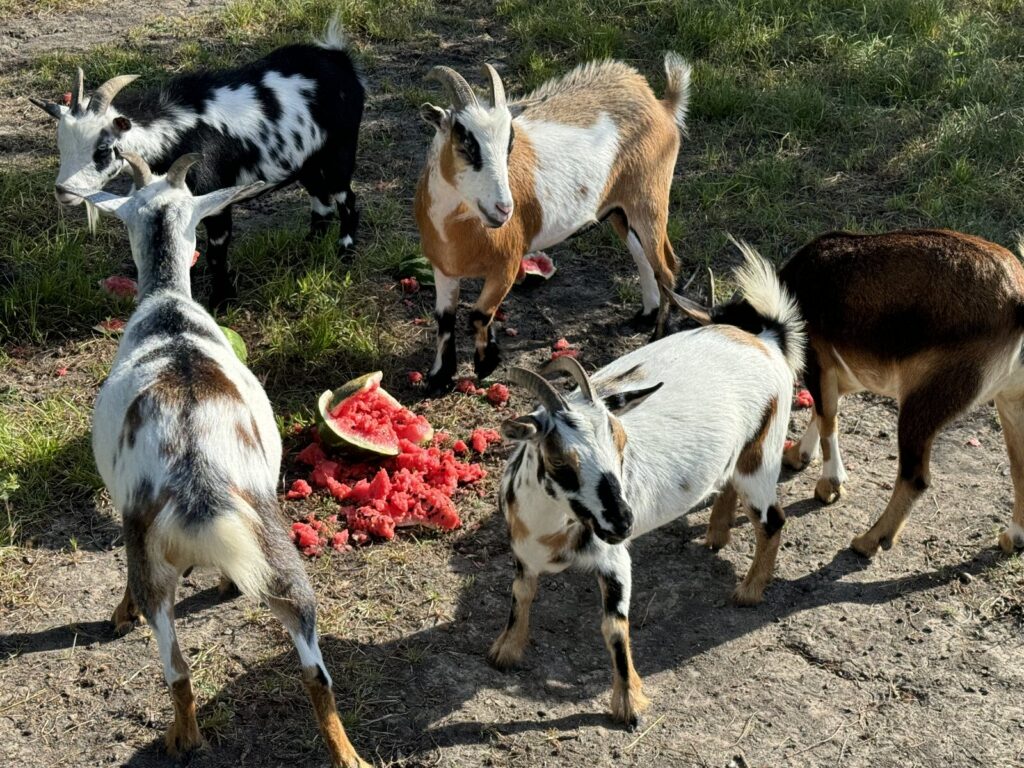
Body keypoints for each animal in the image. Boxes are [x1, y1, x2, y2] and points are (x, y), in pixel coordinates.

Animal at [31, 17, 365, 308]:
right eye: (61, 146)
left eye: (103, 149)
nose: (64, 191)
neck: (176, 130)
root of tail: (337, 57)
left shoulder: (215, 199)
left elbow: (217, 253)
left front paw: (222, 301)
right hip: (306, 159)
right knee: (321, 199)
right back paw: (309, 245)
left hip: (340, 150)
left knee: (346, 197)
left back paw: (345, 250)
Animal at [61, 152, 370, 767]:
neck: (168, 311)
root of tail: (198, 469)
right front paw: (227, 583)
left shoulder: (123, 509)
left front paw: (121, 613)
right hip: (279, 552)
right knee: (316, 672)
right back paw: (348, 755)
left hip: (153, 559)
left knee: (175, 667)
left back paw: (182, 737)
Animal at [414, 55, 691, 391]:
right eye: (464, 142)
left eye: (509, 145)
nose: (504, 209)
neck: (458, 229)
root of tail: (660, 104)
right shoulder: (443, 268)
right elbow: (445, 318)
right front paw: (438, 377)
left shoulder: (507, 264)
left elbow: (480, 314)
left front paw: (485, 363)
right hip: (619, 210)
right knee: (643, 258)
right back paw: (646, 314)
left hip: (649, 200)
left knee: (667, 267)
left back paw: (658, 334)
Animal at [488, 244, 804, 726]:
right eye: (560, 461)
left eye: (620, 442)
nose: (623, 521)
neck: (548, 530)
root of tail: (765, 339)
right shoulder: (523, 552)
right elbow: (520, 594)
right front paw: (506, 651)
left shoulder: (615, 560)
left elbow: (613, 627)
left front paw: (628, 704)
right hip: (737, 455)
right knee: (732, 488)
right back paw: (715, 535)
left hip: (763, 453)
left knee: (773, 520)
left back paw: (748, 592)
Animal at [763, 229, 1024, 559]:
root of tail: (1017, 300)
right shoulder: (840, 370)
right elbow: (823, 412)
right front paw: (799, 455)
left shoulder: (818, 358)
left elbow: (827, 417)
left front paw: (829, 485)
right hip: (1011, 400)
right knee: (1020, 468)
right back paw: (1013, 537)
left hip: (923, 400)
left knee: (915, 478)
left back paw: (869, 540)